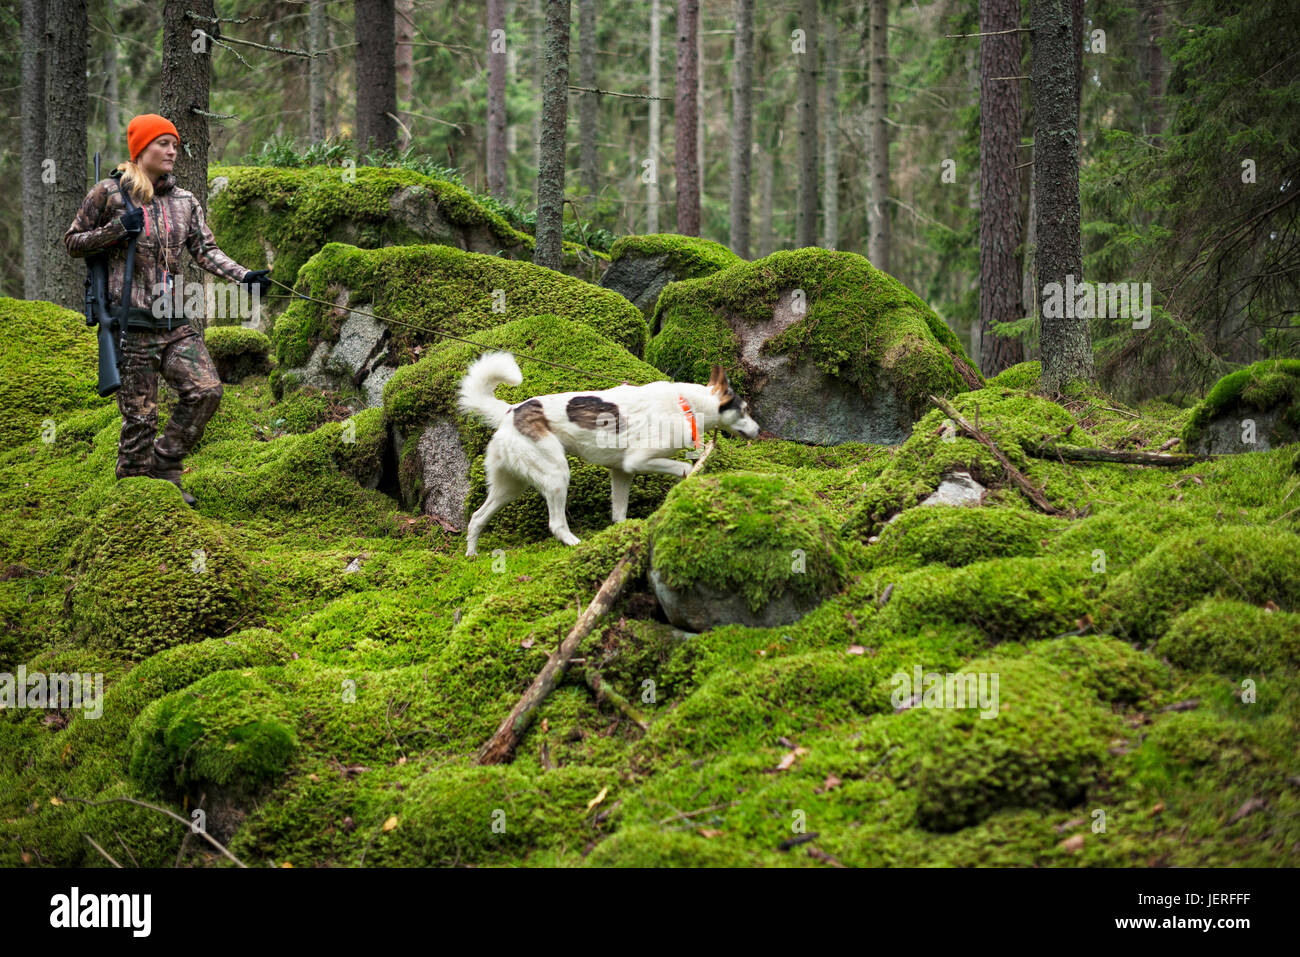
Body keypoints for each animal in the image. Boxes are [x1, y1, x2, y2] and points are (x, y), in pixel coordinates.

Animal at [460, 353, 759, 556]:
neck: (686, 404)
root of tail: (510, 411)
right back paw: (575, 543)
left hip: (509, 488)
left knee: (477, 517)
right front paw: (690, 476)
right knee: (556, 524)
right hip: (557, 475)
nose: (759, 431)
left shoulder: (622, 472)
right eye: (745, 410)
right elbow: (684, 468)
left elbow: (619, 513)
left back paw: (472, 554)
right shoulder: (639, 461)